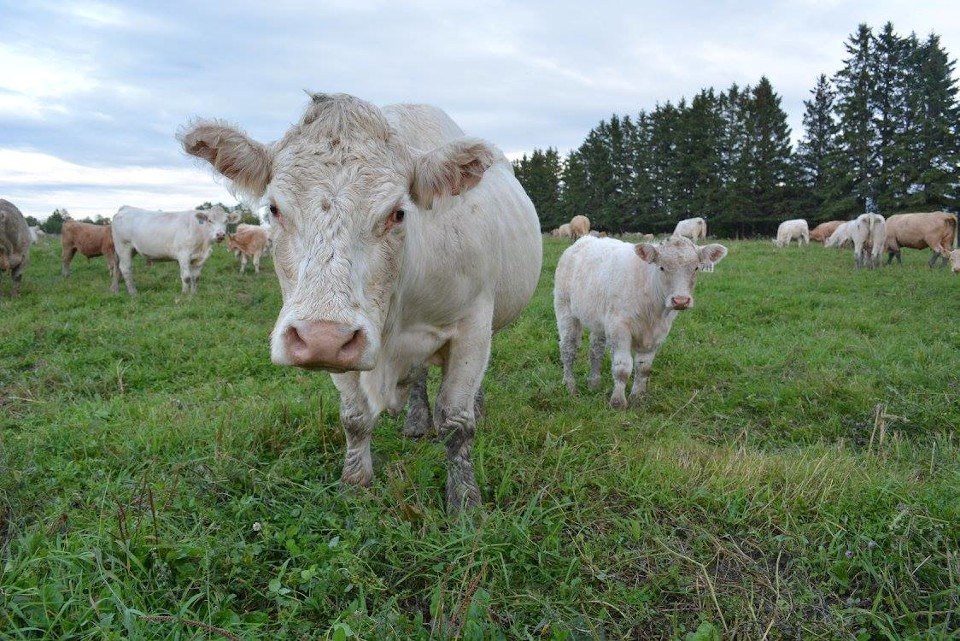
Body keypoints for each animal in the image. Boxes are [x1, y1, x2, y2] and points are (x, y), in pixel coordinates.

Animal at [110, 205, 238, 296]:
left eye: (226, 221)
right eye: (210, 220)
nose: (220, 234)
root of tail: (126, 208)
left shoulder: (201, 258)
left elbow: (196, 278)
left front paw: (194, 294)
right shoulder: (183, 255)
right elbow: (186, 277)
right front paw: (184, 295)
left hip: (128, 250)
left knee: (117, 268)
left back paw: (115, 290)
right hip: (123, 247)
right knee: (125, 268)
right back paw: (133, 293)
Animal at [180, 92, 540, 512]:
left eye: (398, 213)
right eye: (274, 209)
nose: (321, 338)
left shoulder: (471, 327)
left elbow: (456, 422)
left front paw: (465, 502)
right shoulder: (343, 346)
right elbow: (354, 417)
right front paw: (355, 483)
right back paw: (416, 421)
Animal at [556, 235, 728, 410]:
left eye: (696, 268)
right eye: (661, 268)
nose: (680, 300)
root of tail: (584, 239)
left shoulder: (658, 332)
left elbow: (644, 367)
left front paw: (637, 399)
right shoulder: (619, 327)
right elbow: (623, 367)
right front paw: (617, 403)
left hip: (599, 321)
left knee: (595, 350)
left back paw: (594, 384)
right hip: (565, 310)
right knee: (568, 349)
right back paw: (570, 386)